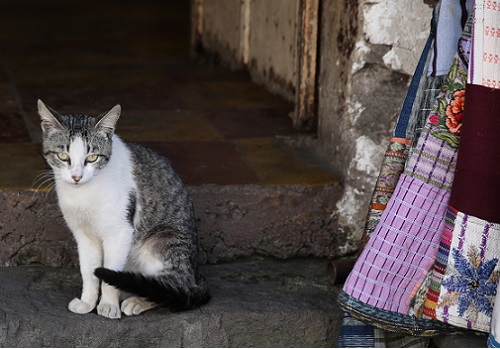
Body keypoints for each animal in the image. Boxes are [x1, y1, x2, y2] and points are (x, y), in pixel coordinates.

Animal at [38, 98, 209, 318]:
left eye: (92, 157)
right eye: (62, 155)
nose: (76, 176)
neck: (84, 193)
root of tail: (196, 275)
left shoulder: (120, 231)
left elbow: (110, 271)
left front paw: (108, 305)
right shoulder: (84, 235)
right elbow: (88, 271)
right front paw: (88, 302)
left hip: (162, 242)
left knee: (175, 287)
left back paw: (137, 300)